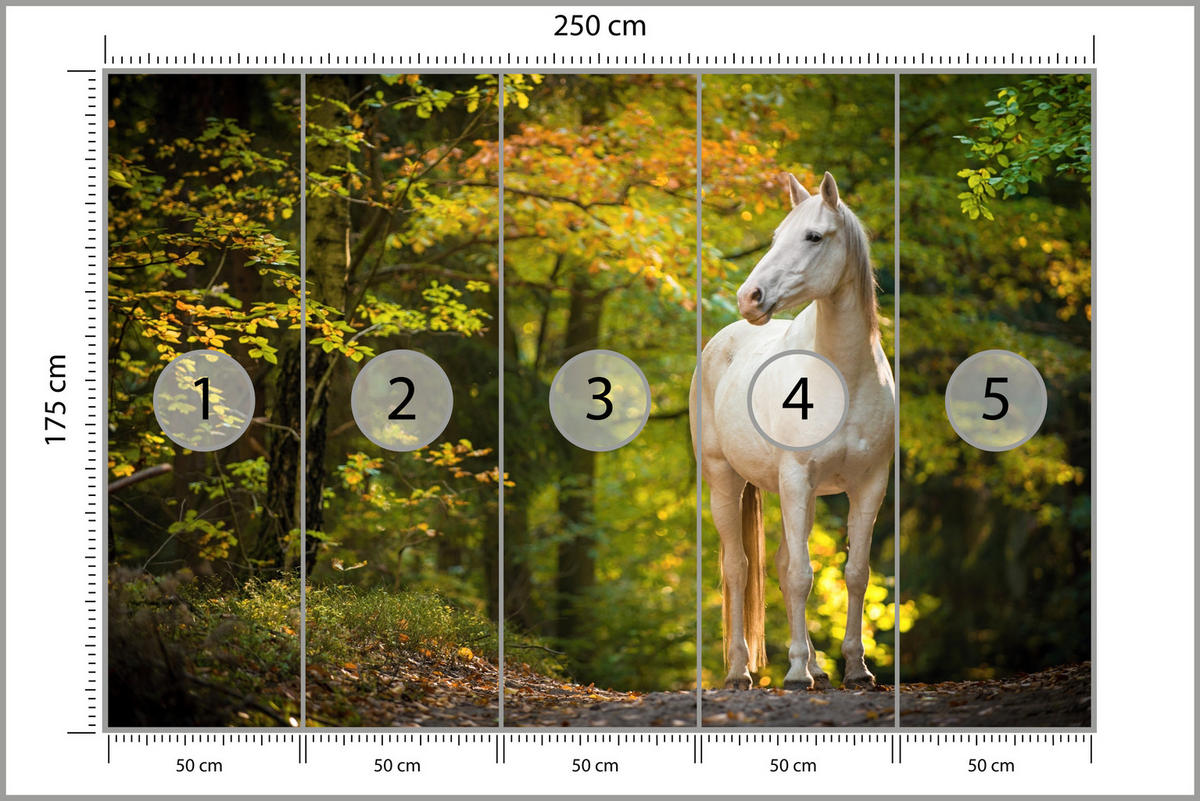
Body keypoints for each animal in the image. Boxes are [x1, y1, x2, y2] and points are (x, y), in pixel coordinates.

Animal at [690, 171, 895, 690]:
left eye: (814, 237)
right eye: (776, 236)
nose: (750, 297)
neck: (844, 375)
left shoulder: (870, 483)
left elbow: (855, 572)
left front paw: (855, 667)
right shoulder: (797, 477)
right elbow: (803, 576)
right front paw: (797, 673)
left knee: (782, 563)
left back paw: (817, 667)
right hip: (725, 480)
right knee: (738, 568)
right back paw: (742, 671)